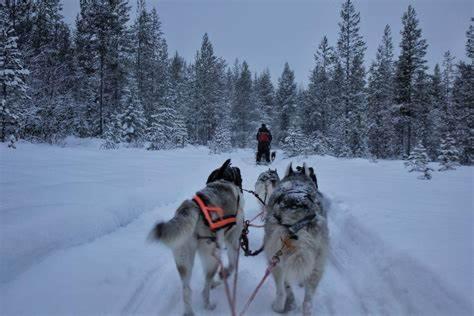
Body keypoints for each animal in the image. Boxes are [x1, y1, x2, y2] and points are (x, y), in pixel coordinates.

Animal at [148, 160, 244, 316]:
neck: (224, 179)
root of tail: (192, 207)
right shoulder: (233, 239)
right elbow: (232, 264)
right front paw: (223, 275)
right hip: (211, 256)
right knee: (204, 288)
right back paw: (208, 304)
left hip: (184, 261)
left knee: (187, 290)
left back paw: (189, 311)